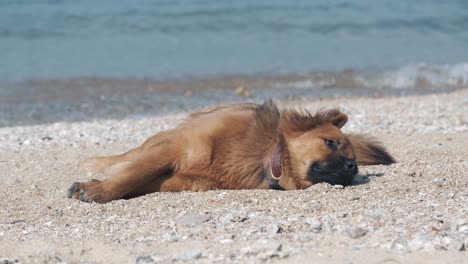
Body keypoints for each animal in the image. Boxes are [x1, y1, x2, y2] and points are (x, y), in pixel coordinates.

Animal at [66, 100, 394, 203]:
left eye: (352, 160)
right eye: (330, 143)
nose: (353, 168)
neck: (266, 155)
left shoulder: (178, 179)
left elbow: (137, 179)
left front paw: (97, 188)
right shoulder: (172, 149)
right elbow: (131, 174)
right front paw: (98, 189)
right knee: (127, 156)